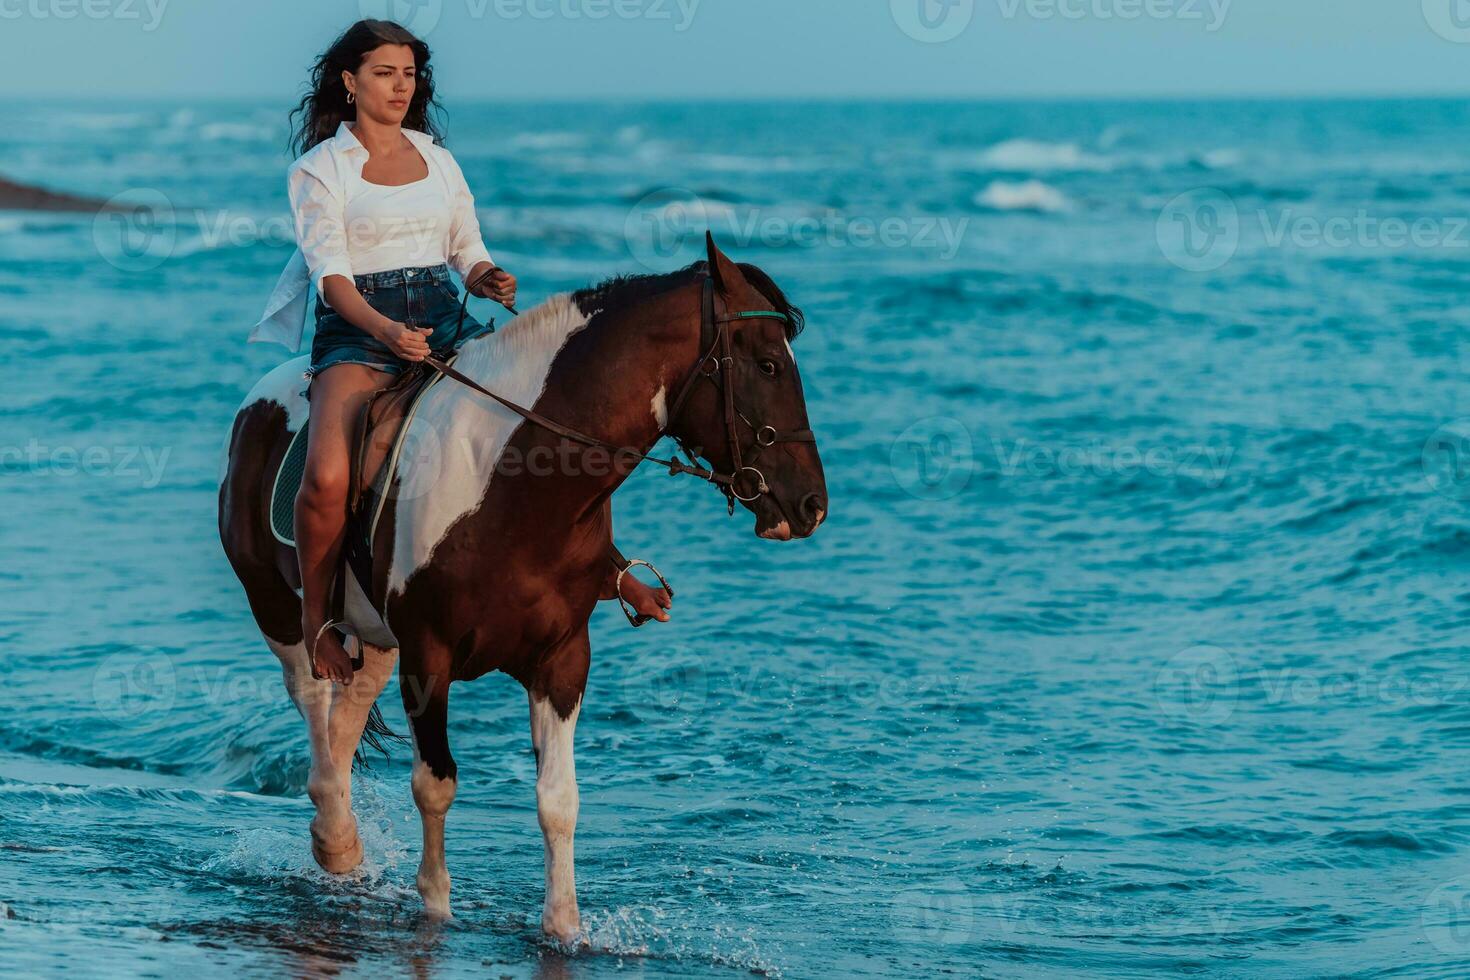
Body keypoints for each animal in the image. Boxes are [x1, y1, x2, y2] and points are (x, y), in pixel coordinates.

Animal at [217, 239, 829, 940]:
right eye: (767, 365)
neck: (513, 486)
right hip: (283, 614)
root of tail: (261, 399)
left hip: (374, 640)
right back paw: (336, 841)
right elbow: (435, 785)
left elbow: (559, 800)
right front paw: (435, 908)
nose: (811, 505)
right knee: (317, 711)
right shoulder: (428, 657)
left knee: (344, 724)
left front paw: (565, 926)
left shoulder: (561, 658)